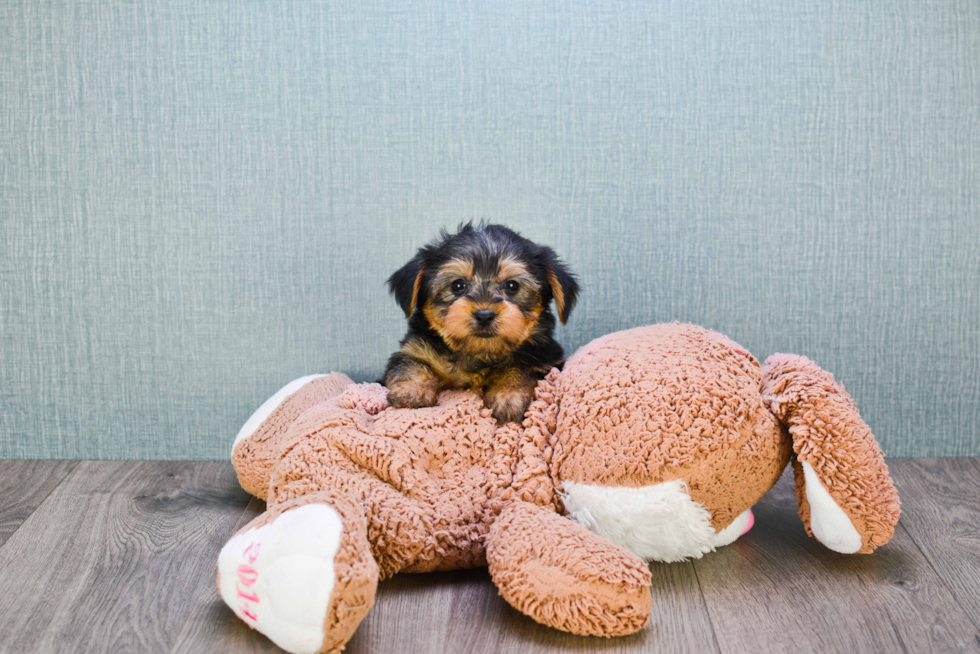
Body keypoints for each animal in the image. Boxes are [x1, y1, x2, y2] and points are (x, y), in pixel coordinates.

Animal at [382, 223, 580, 422]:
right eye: (458, 285)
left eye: (512, 285)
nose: (484, 315)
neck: (479, 353)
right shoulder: (416, 347)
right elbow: (410, 362)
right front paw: (411, 391)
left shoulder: (544, 358)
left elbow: (520, 367)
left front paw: (508, 395)